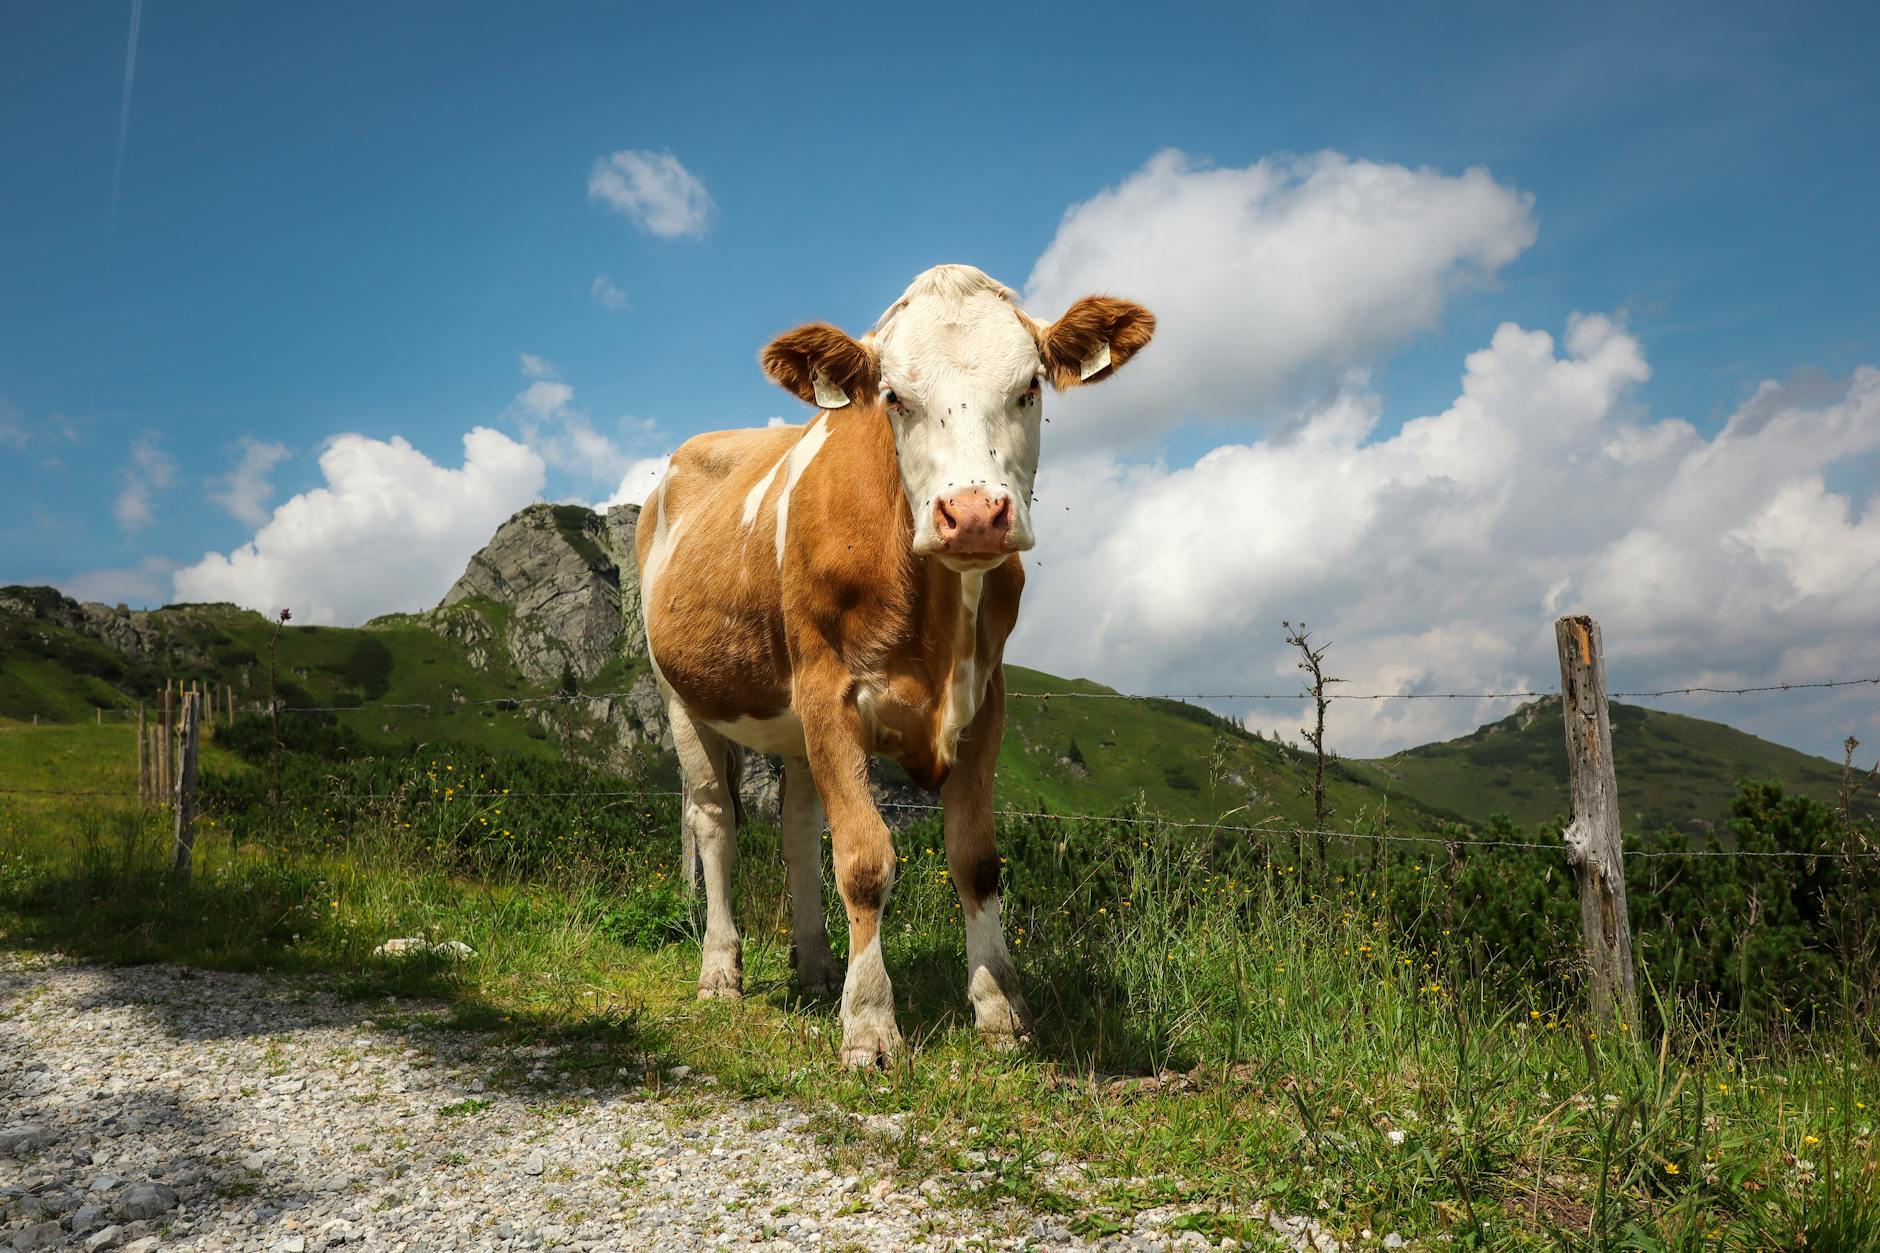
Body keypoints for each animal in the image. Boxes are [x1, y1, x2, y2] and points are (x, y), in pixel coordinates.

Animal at [636, 264, 1154, 1065]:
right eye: (894, 397)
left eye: (1030, 386)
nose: (973, 514)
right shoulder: (830, 691)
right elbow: (864, 860)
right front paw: (871, 1025)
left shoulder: (986, 698)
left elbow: (974, 858)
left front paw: (1001, 1009)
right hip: (682, 695)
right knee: (714, 817)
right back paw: (722, 972)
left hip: (790, 723)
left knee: (796, 827)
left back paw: (818, 967)